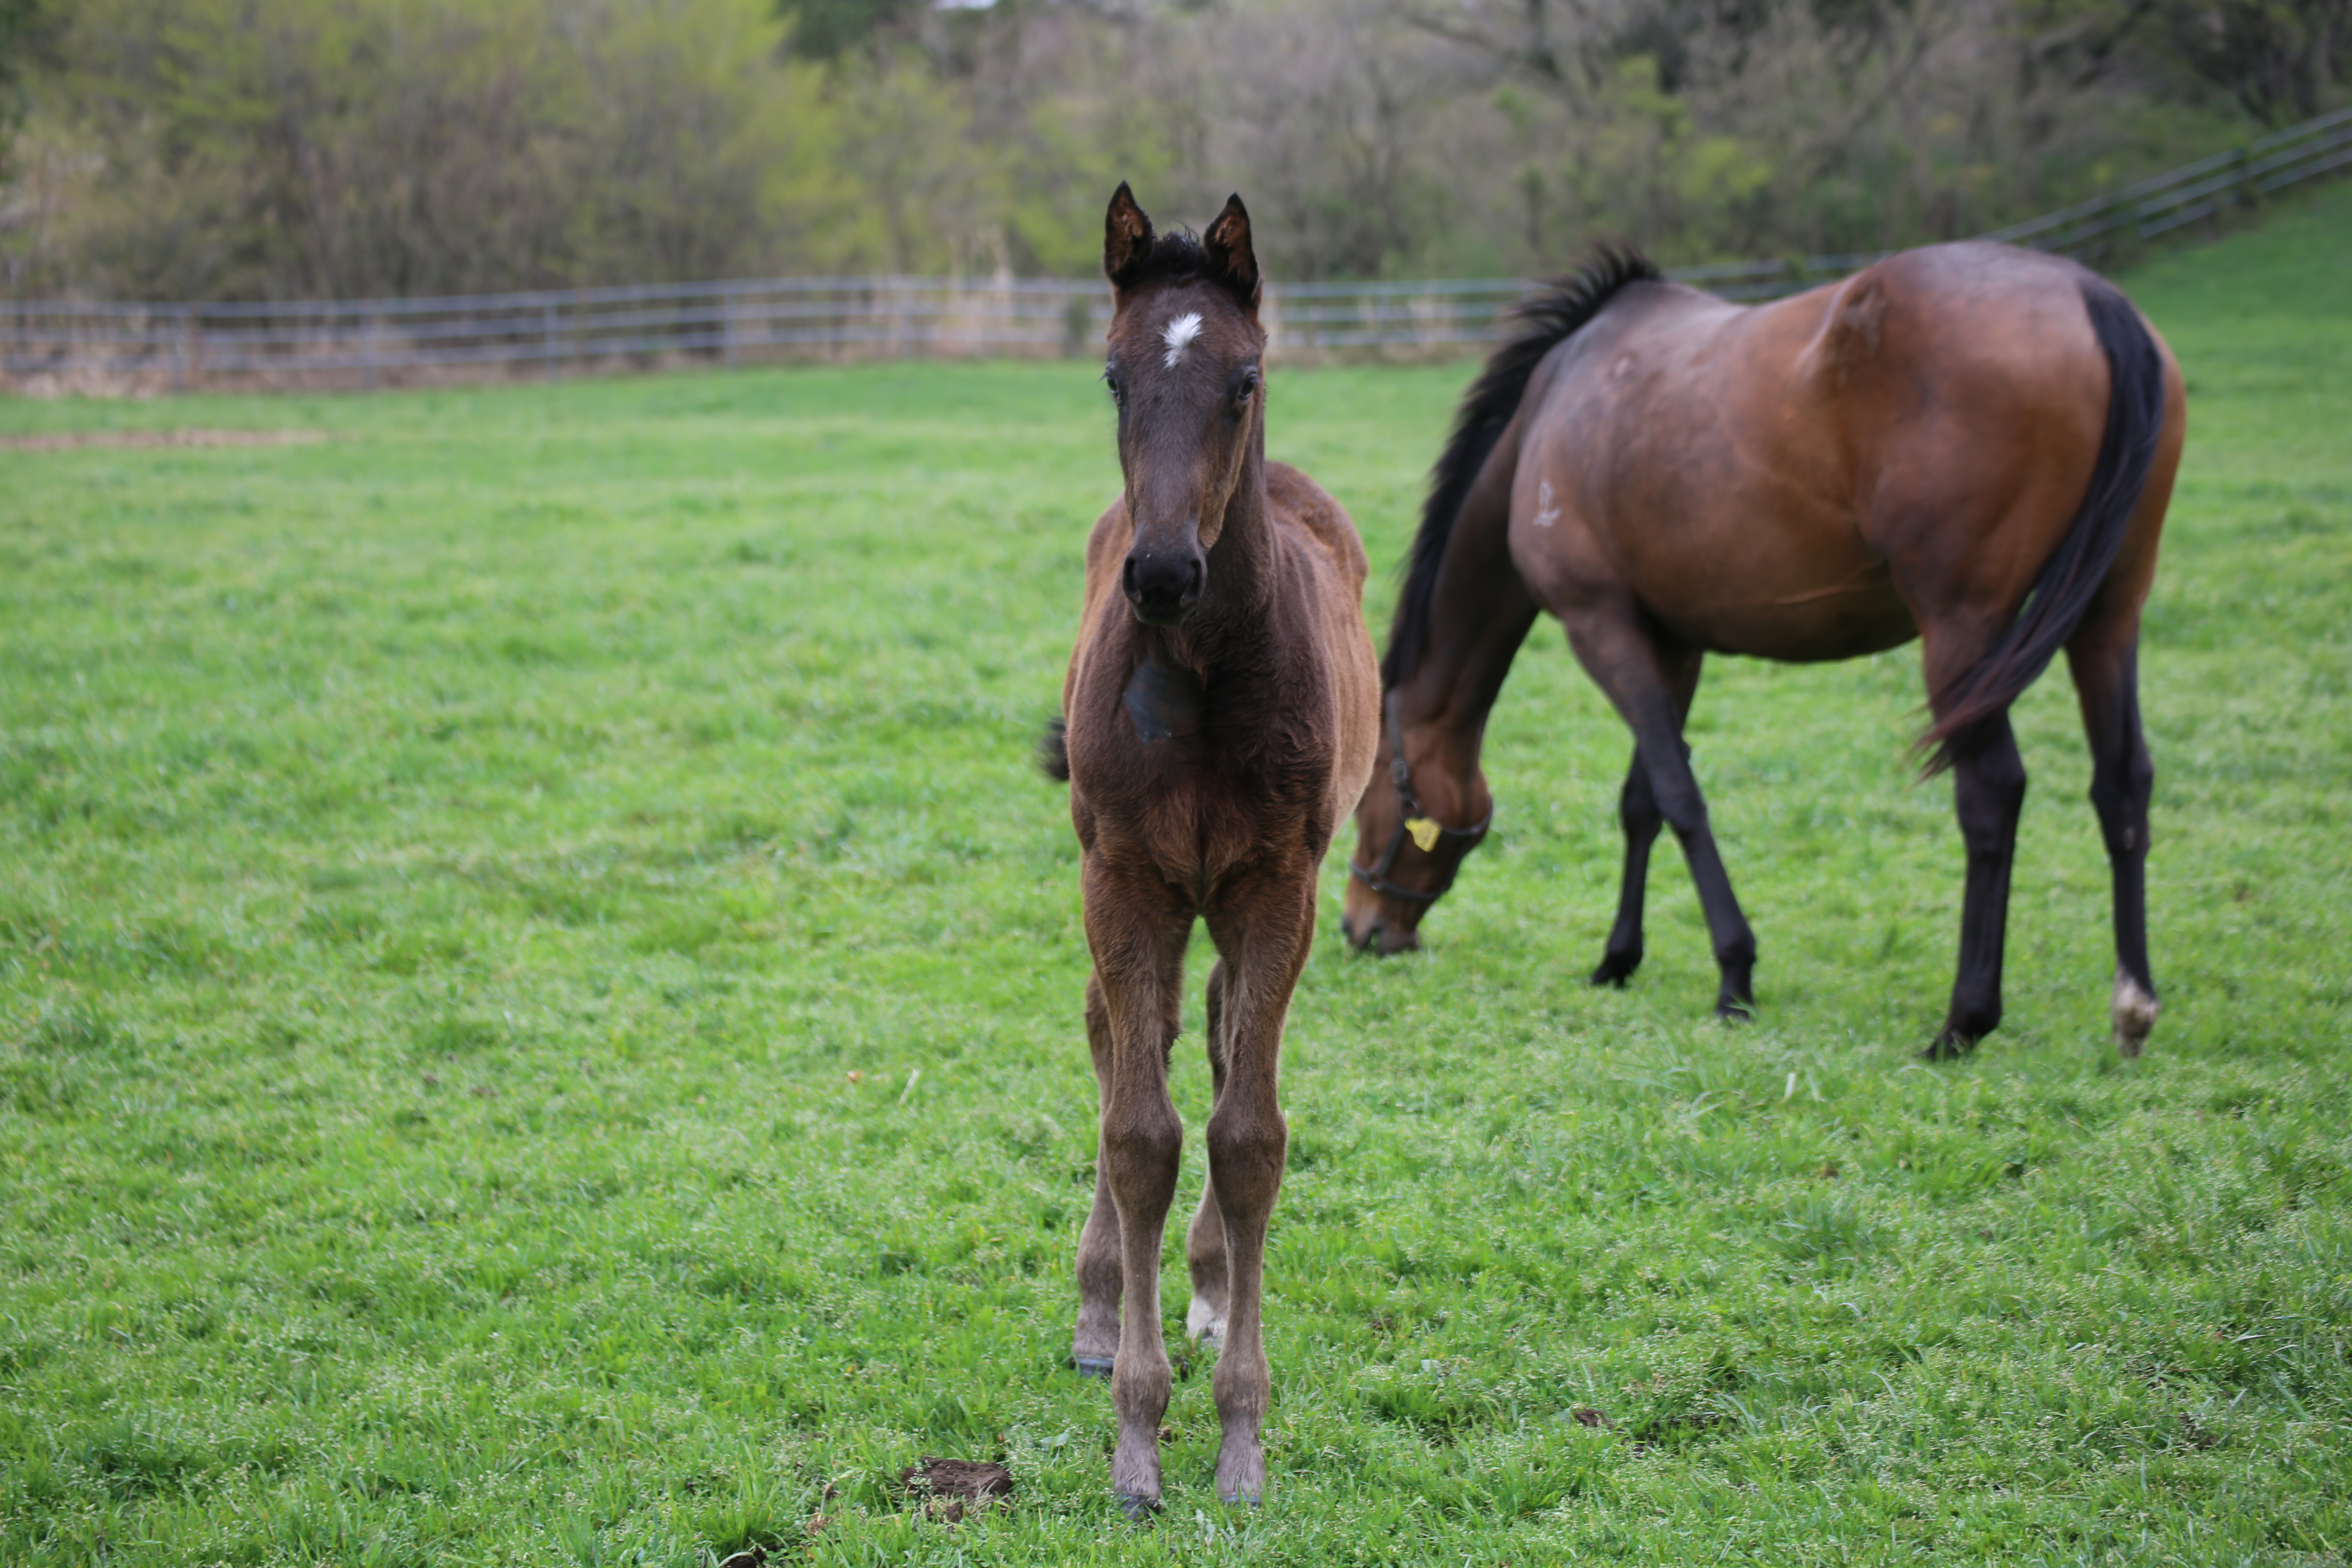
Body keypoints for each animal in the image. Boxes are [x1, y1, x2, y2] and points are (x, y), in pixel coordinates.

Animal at [1345, 242, 2183, 1053]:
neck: (1547, 417)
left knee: (1992, 793)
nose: (1361, 929)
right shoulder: (1671, 643)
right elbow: (1641, 802)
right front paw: (1619, 959)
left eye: (1370, 794)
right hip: (2110, 618)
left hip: (1962, 635)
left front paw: (1734, 975)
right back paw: (2132, 1005)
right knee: (2123, 784)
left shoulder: (1600, 625)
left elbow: (1679, 796)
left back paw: (1963, 1020)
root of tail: (2092, 300)